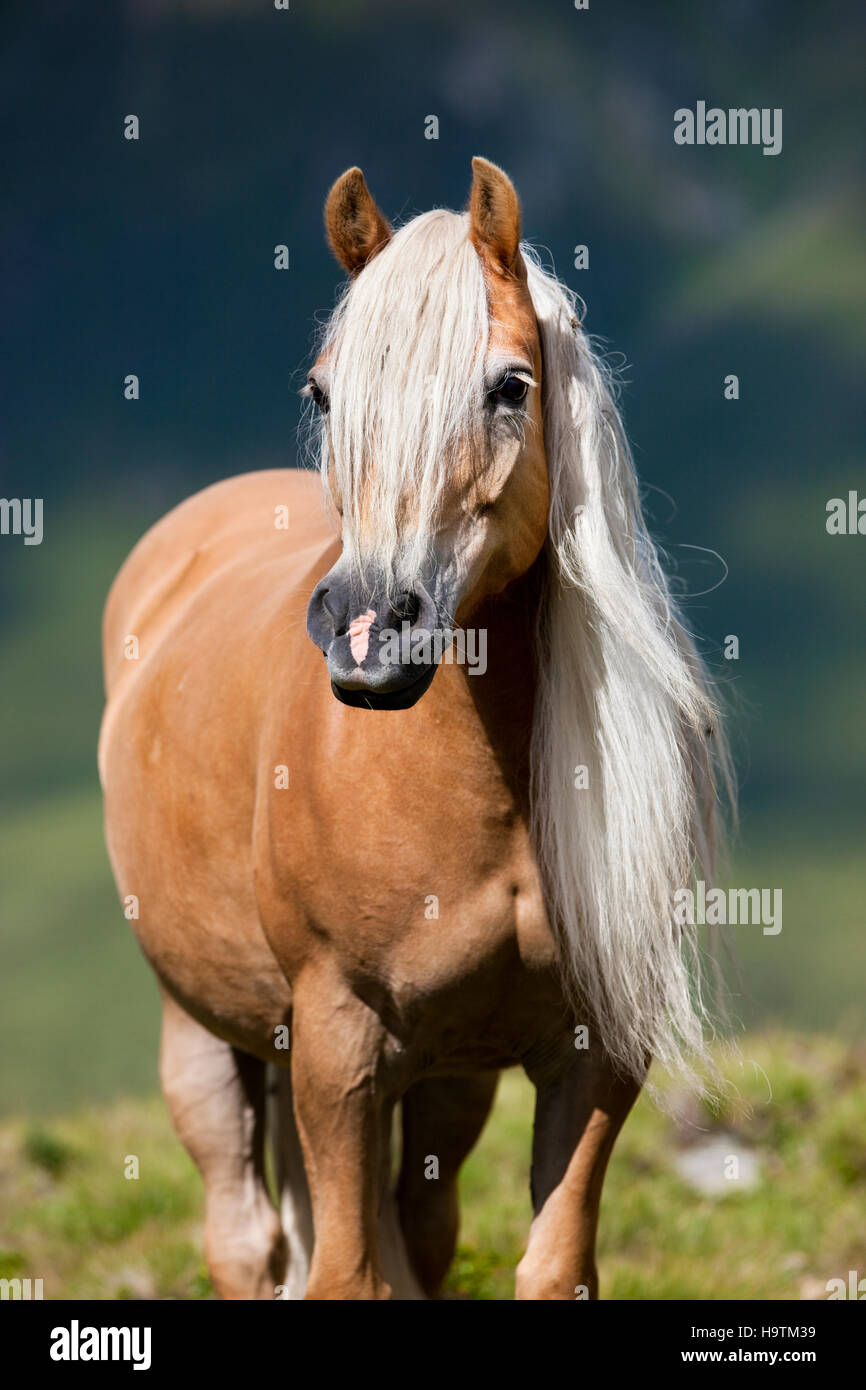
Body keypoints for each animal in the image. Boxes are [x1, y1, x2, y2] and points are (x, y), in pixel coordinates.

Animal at [97, 157, 728, 1295]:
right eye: (322, 391)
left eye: (509, 386)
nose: (365, 630)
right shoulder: (339, 1038)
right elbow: (346, 1271)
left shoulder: (594, 1052)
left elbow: (548, 1263)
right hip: (206, 1032)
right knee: (245, 1237)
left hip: (442, 1078)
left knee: (420, 1227)